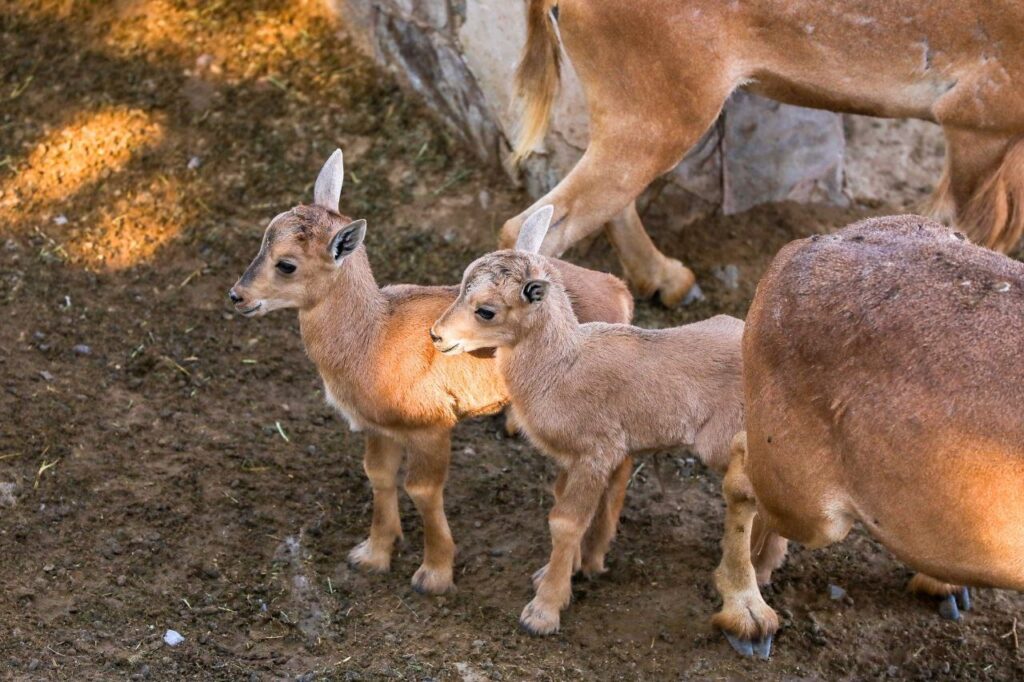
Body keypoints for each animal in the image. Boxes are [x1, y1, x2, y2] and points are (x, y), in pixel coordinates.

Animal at [229, 150, 634, 593]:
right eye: (264, 239)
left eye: (286, 264)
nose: (237, 296)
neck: (372, 339)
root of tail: (619, 291)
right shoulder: (379, 425)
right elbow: (379, 475)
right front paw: (372, 554)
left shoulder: (431, 425)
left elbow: (422, 489)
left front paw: (434, 574)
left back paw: (589, 560)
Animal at [432, 202, 745, 630]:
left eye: (486, 310)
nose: (436, 335)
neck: (562, 366)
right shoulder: (576, 457)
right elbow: (564, 503)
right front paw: (564, 572)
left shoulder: (596, 452)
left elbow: (566, 522)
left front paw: (543, 611)